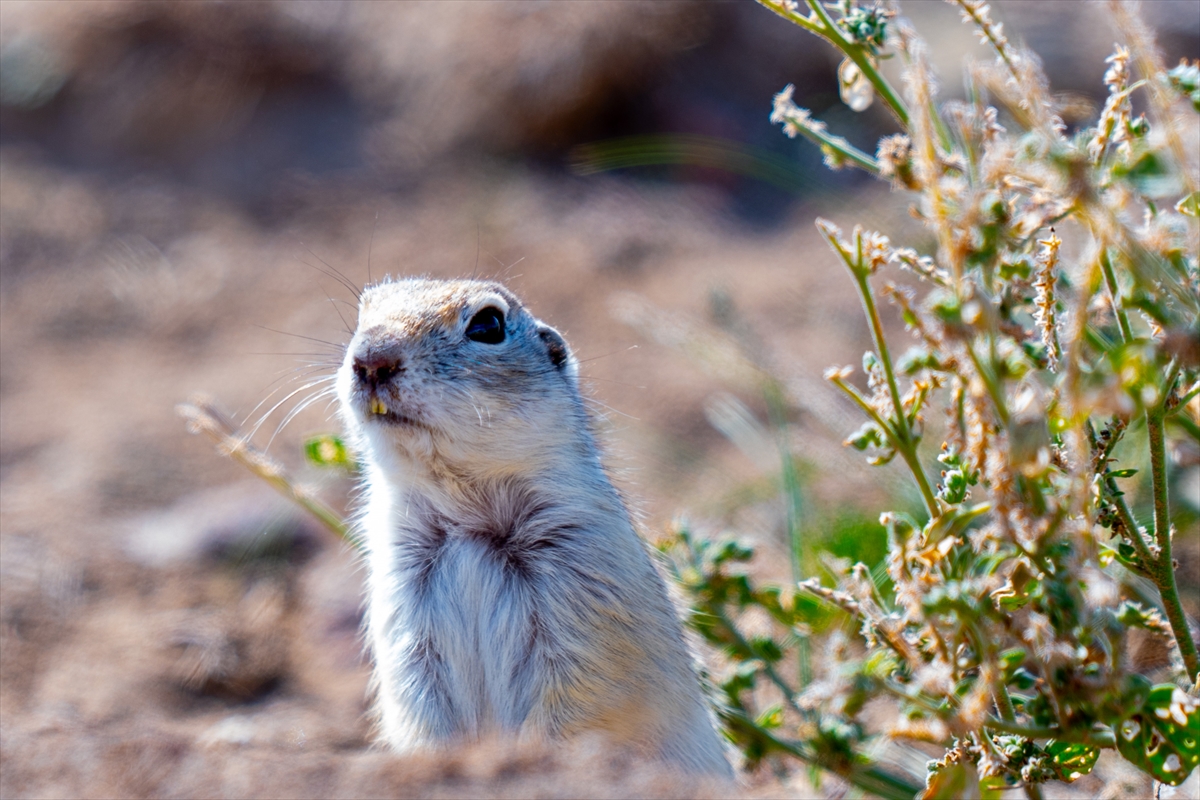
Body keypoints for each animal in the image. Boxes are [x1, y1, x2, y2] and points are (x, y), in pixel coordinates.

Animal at [333, 278, 734, 777]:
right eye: (363, 312)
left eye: (488, 324)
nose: (371, 357)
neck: (469, 517)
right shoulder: (404, 609)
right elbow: (419, 701)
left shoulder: (583, 596)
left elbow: (576, 703)